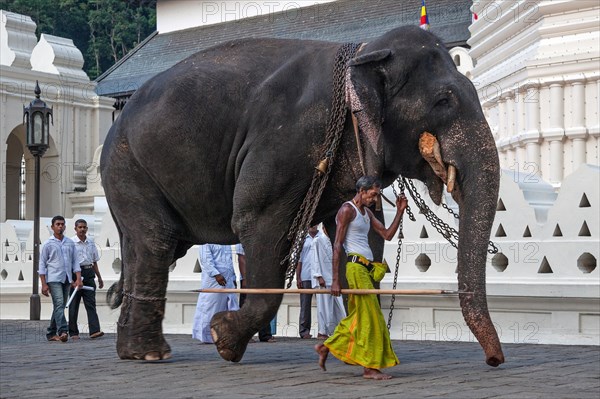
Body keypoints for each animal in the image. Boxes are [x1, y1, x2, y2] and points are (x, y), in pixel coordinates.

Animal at [102, 25, 506, 368]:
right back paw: (151, 353)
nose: (494, 360)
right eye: (443, 101)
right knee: (157, 241)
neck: (363, 50)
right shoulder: (285, 143)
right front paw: (223, 338)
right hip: (128, 165)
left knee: (146, 246)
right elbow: (255, 220)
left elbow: (363, 238)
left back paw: (133, 349)